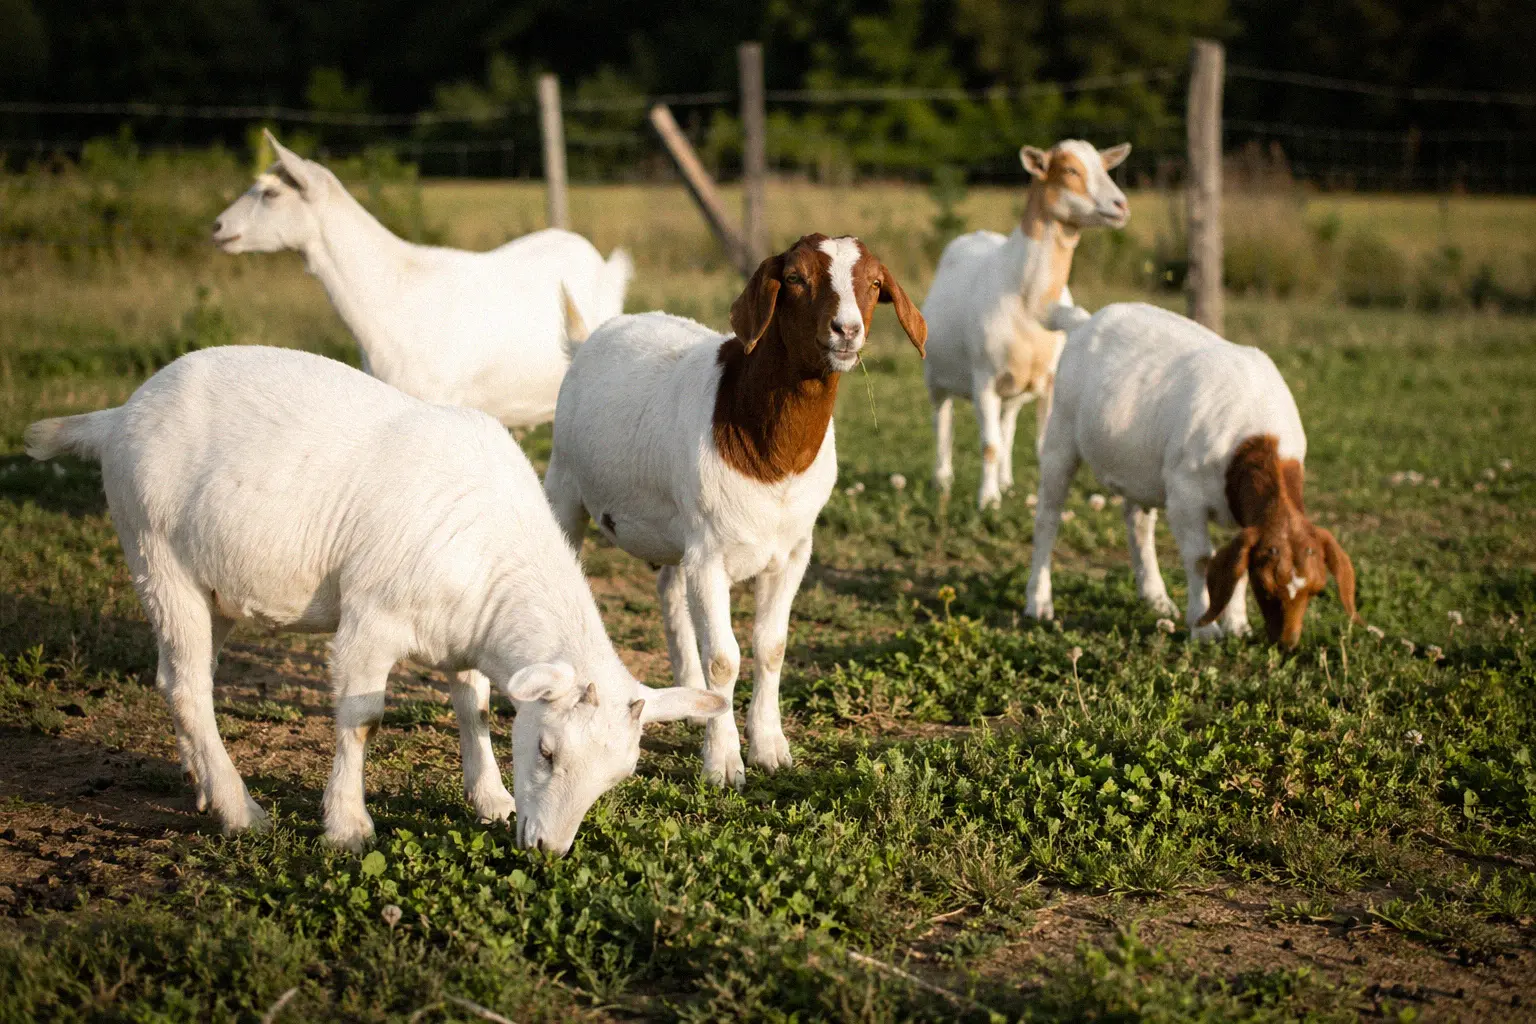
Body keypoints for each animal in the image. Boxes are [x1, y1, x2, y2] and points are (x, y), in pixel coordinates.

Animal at [24, 346, 724, 854]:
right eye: (547, 752)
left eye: (618, 778)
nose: (548, 850)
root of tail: (118, 416)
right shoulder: (369, 620)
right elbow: (362, 719)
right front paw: (348, 827)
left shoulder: (465, 631)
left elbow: (473, 706)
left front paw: (491, 799)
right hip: (156, 553)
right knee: (190, 686)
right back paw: (241, 810)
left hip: (209, 584)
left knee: (178, 678)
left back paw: (203, 787)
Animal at [543, 235, 926, 787]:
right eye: (795, 278)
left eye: (876, 283)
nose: (846, 330)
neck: (770, 455)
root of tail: (592, 336)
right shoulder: (710, 556)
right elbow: (725, 659)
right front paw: (724, 763)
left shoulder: (793, 551)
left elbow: (772, 646)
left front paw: (770, 749)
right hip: (565, 486)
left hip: (676, 531)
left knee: (670, 591)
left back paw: (688, 697)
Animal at [921, 139, 1131, 509]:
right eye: (1070, 170)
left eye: (1105, 168)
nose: (1121, 205)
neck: (1027, 298)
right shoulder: (984, 379)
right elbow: (988, 445)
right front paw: (988, 501)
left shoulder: (1048, 382)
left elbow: (1037, 445)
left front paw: (1012, 492)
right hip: (935, 375)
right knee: (942, 422)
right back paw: (942, 481)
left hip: (1017, 387)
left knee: (1008, 424)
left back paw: (1006, 481)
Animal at [1022, 303, 1361, 647]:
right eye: (1266, 587)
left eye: (1317, 590)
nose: (1286, 644)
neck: (1257, 438)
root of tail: (1083, 321)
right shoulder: (1185, 497)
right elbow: (1201, 559)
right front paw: (1205, 628)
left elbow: (1236, 562)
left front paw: (1238, 625)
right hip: (1060, 435)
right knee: (1048, 517)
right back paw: (1039, 602)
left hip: (1140, 468)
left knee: (1138, 521)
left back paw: (1156, 598)